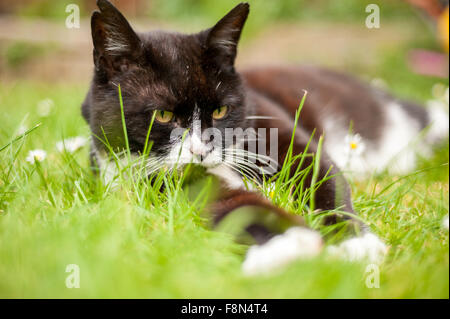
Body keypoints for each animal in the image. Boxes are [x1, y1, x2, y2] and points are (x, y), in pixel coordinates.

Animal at [82, 0, 448, 276]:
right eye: (163, 116)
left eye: (221, 111)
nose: (201, 150)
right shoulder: (152, 181)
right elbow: (232, 205)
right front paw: (285, 245)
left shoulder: (283, 133)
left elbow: (323, 178)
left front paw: (352, 242)